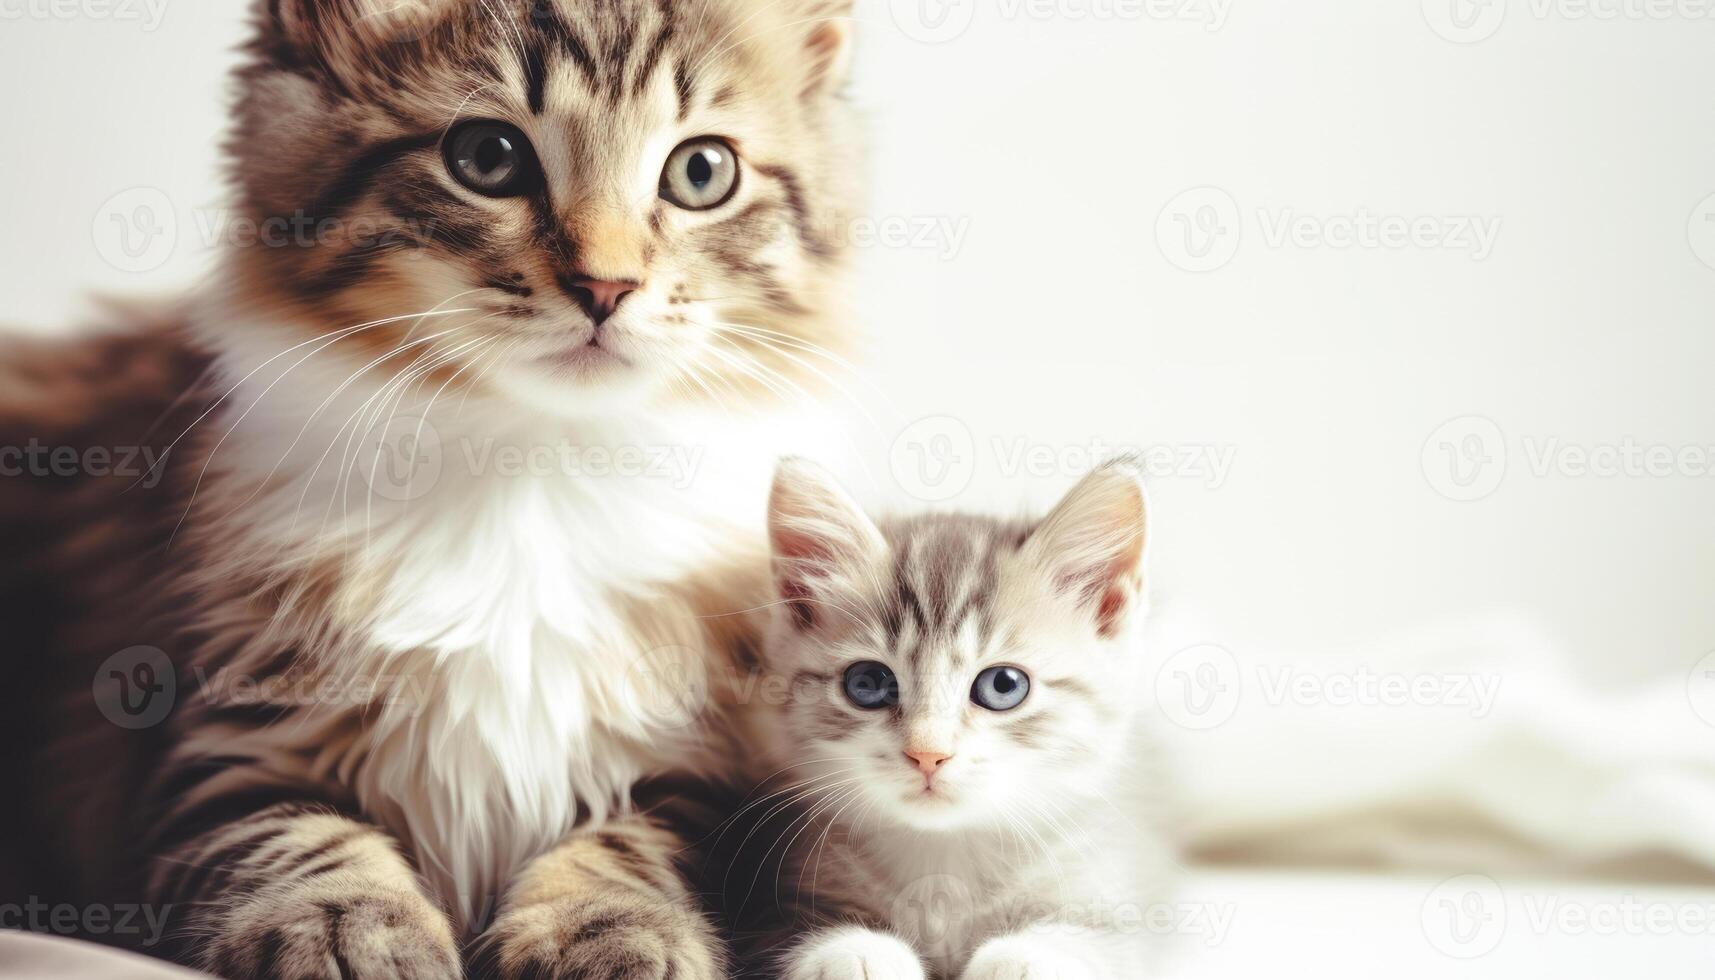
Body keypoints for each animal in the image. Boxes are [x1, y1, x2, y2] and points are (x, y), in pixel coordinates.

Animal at [0, 0, 857, 974]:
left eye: (701, 171)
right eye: (487, 157)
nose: (606, 285)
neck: (531, 473)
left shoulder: (701, 767)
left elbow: (624, 849)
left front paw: (606, 930)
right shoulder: (219, 745)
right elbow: (305, 839)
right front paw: (350, 930)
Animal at [692, 463, 1166, 980]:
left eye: (1004, 685)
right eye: (868, 683)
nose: (928, 753)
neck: (945, 853)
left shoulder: (1121, 896)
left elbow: (1097, 940)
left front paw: (1022, 958)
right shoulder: (774, 910)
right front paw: (857, 952)